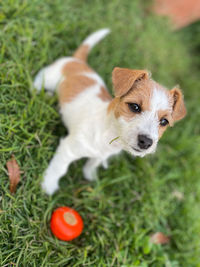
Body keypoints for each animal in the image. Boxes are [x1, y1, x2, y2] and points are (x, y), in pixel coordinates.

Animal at [34, 29, 186, 196]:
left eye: (164, 121)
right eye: (134, 107)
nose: (146, 142)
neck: (108, 134)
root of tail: (78, 61)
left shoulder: (100, 156)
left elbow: (93, 162)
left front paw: (90, 174)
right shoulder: (68, 148)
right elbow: (59, 168)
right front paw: (48, 185)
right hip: (49, 77)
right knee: (39, 78)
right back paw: (37, 91)